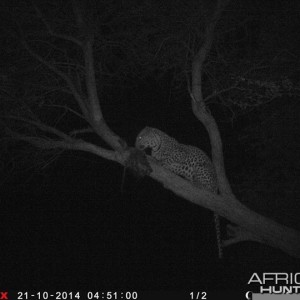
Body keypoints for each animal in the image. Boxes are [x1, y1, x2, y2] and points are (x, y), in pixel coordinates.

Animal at [136, 126, 223, 258]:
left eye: (140, 137)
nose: (135, 144)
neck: (157, 146)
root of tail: (217, 186)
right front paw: (152, 158)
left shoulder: (182, 154)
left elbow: (168, 158)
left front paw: (159, 161)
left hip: (201, 168)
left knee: (206, 187)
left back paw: (195, 183)